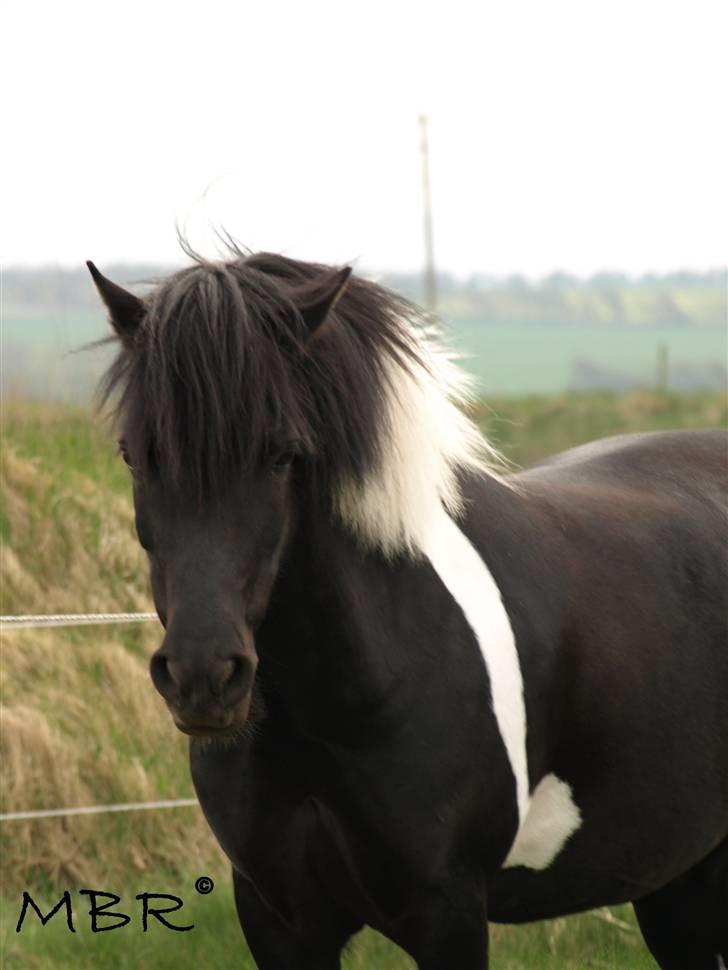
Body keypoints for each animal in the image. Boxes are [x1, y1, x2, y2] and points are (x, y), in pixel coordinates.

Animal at [91, 251, 728, 968]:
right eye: (135, 456)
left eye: (283, 456)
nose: (203, 678)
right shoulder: (277, 918)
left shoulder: (447, 912)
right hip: (676, 880)